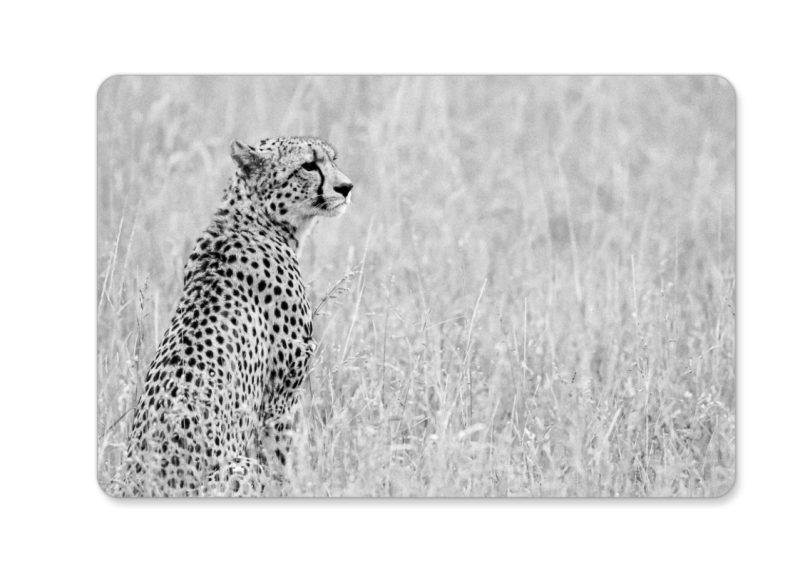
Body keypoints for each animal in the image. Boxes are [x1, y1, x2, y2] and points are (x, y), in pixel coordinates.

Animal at [111, 136, 354, 497]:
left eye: (332, 160)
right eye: (309, 165)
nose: (346, 187)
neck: (254, 219)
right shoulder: (280, 399)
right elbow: (283, 459)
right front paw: (299, 488)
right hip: (239, 467)